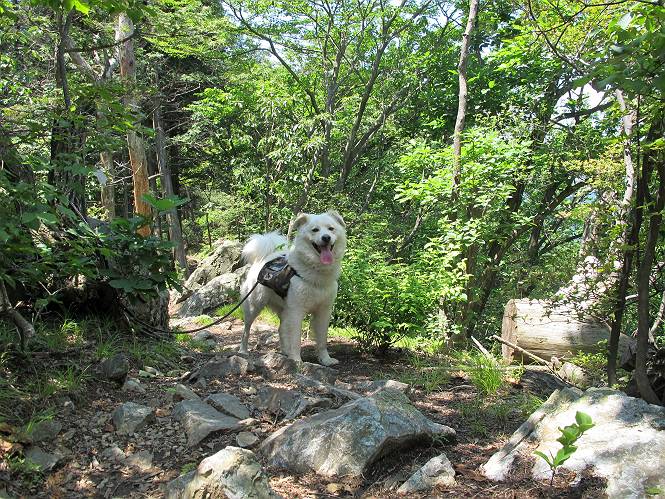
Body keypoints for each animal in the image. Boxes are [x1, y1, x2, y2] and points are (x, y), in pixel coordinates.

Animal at [238, 211, 346, 366]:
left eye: (331, 229)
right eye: (315, 230)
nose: (326, 237)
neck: (316, 271)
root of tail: (265, 258)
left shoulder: (324, 311)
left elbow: (322, 340)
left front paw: (325, 359)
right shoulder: (296, 311)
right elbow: (296, 339)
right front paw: (296, 361)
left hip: (283, 309)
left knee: (281, 329)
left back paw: (285, 352)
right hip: (254, 306)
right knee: (246, 330)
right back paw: (243, 351)